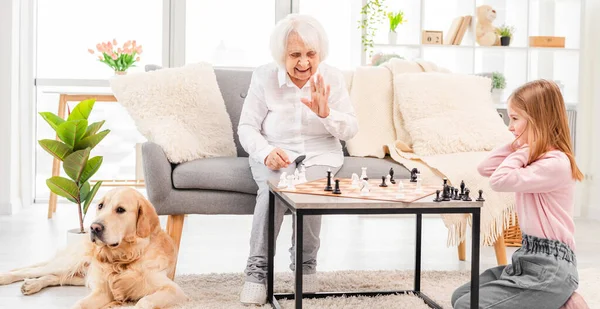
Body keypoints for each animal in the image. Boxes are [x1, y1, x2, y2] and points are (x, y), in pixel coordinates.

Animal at [0, 186, 188, 306]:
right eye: (100, 206)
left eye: (120, 209)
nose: (94, 227)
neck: (125, 257)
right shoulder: (103, 290)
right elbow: (80, 305)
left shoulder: (173, 289)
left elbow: (145, 301)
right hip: (70, 263)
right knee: (29, 270)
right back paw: (7, 277)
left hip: (80, 276)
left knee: (54, 277)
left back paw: (32, 285)